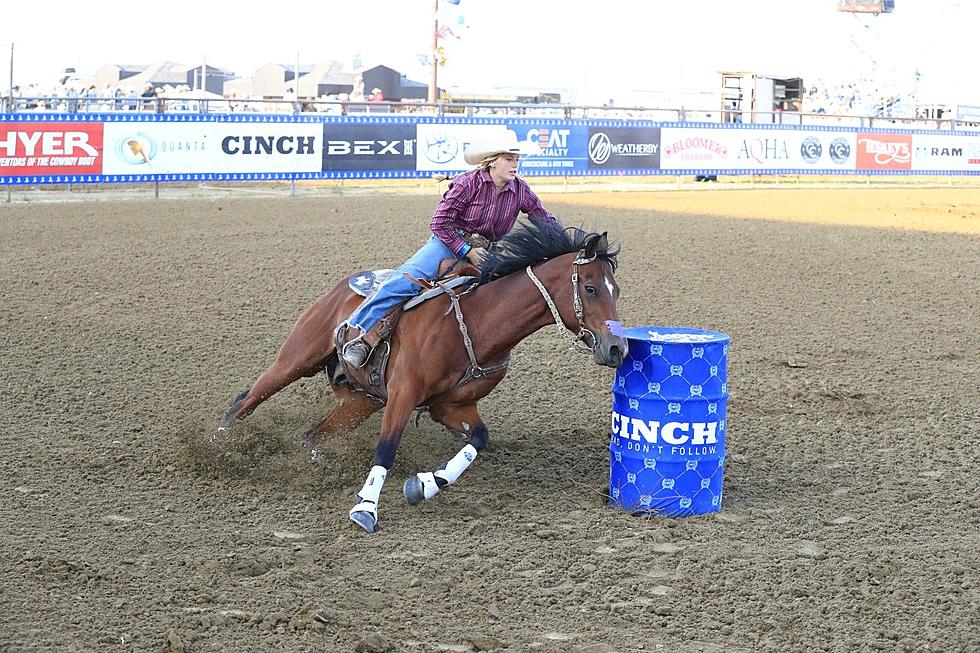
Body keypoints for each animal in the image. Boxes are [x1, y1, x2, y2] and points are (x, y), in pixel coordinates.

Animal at [216, 222, 628, 532]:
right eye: (590, 288)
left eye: (616, 289)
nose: (617, 348)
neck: (476, 323)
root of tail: (344, 285)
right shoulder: (403, 393)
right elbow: (387, 447)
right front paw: (366, 509)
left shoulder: (453, 406)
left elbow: (479, 439)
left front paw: (423, 485)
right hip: (296, 359)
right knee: (246, 399)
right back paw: (219, 444)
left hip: (359, 402)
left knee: (311, 435)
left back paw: (319, 460)